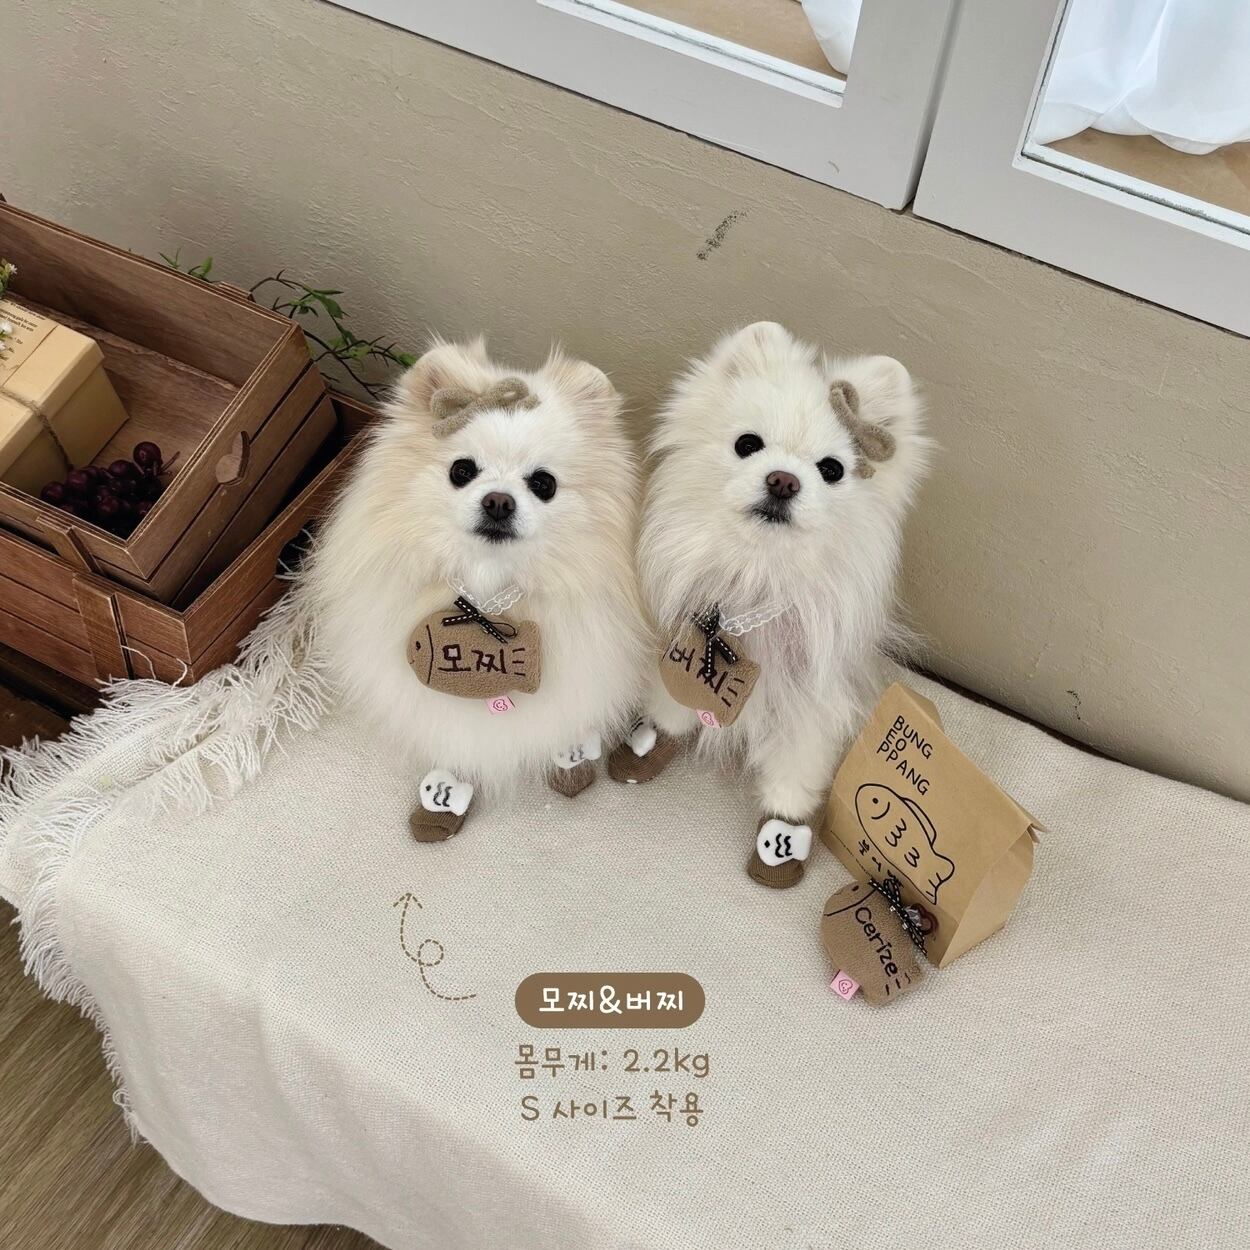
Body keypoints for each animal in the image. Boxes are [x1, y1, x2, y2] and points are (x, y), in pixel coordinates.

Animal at [307, 338, 648, 840]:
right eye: (462, 471)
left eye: (543, 483)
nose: (499, 501)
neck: (487, 593)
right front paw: (444, 798)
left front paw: (569, 763)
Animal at [609, 322, 930, 887]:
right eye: (748, 444)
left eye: (832, 469)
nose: (783, 479)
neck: (759, 579)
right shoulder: (683, 644)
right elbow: (671, 706)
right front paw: (646, 745)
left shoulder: (811, 706)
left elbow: (795, 775)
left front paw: (780, 841)